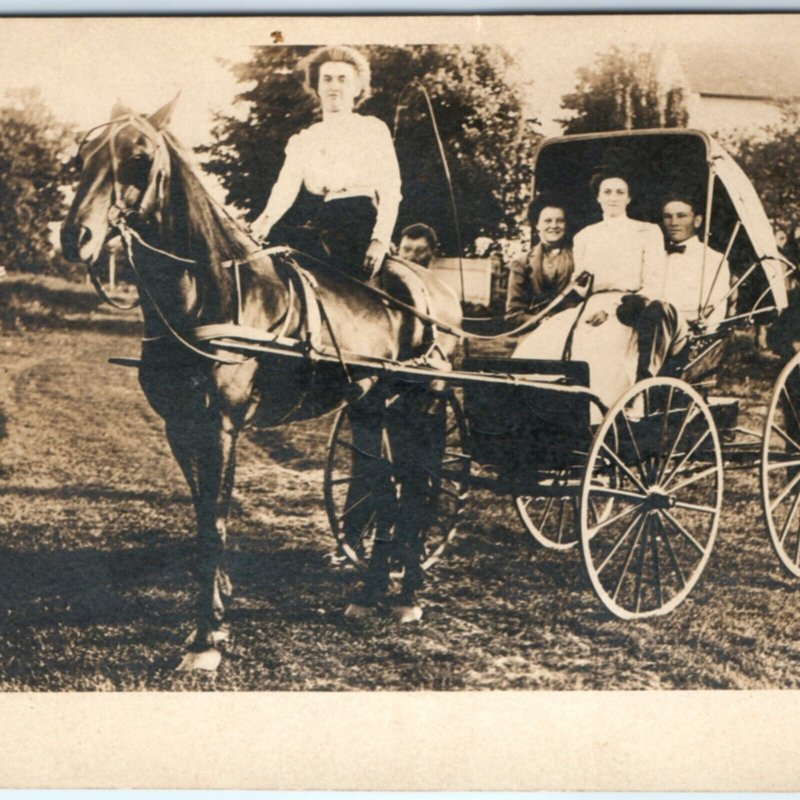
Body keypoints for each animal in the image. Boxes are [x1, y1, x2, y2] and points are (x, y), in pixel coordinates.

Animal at [61, 97, 462, 672]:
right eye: (82, 156)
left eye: (140, 157)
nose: (77, 238)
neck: (213, 295)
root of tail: (434, 288)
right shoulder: (180, 425)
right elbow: (205, 515)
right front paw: (218, 611)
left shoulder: (222, 425)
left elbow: (216, 523)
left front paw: (205, 638)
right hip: (370, 403)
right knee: (385, 486)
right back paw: (369, 595)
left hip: (422, 405)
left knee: (420, 488)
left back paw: (406, 596)